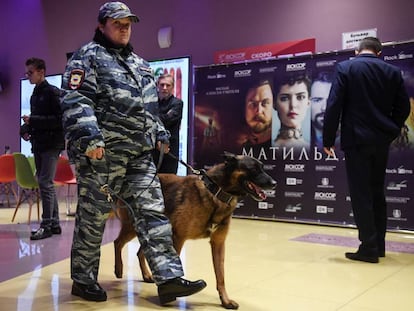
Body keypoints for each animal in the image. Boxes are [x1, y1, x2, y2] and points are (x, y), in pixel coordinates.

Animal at [111, 154, 276, 310]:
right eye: (253, 169)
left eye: (262, 167)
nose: (274, 183)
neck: (216, 192)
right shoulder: (178, 238)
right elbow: (174, 264)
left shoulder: (218, 244)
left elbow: (221, 276)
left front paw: (225, 300)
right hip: (133, 228)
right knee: (117, 242)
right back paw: (118, 269)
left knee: (140, 252)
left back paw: (146, 275)